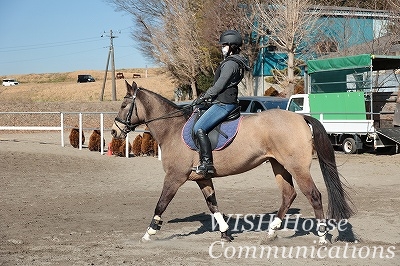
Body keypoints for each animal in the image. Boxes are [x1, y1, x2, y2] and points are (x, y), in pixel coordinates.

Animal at [111, 80, 354, 243]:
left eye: (124, 105)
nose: (114, 132)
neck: (172, 129)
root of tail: (300, 117)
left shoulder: (174, 177)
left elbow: (161, 203)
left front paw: (149, 232)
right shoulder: (202, 178)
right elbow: (213, 204)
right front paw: (225, 233)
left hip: (297, 167)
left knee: (314, 195)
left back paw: (322, 238)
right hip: (279, 166)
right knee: (288, 195)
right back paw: (271, 233)